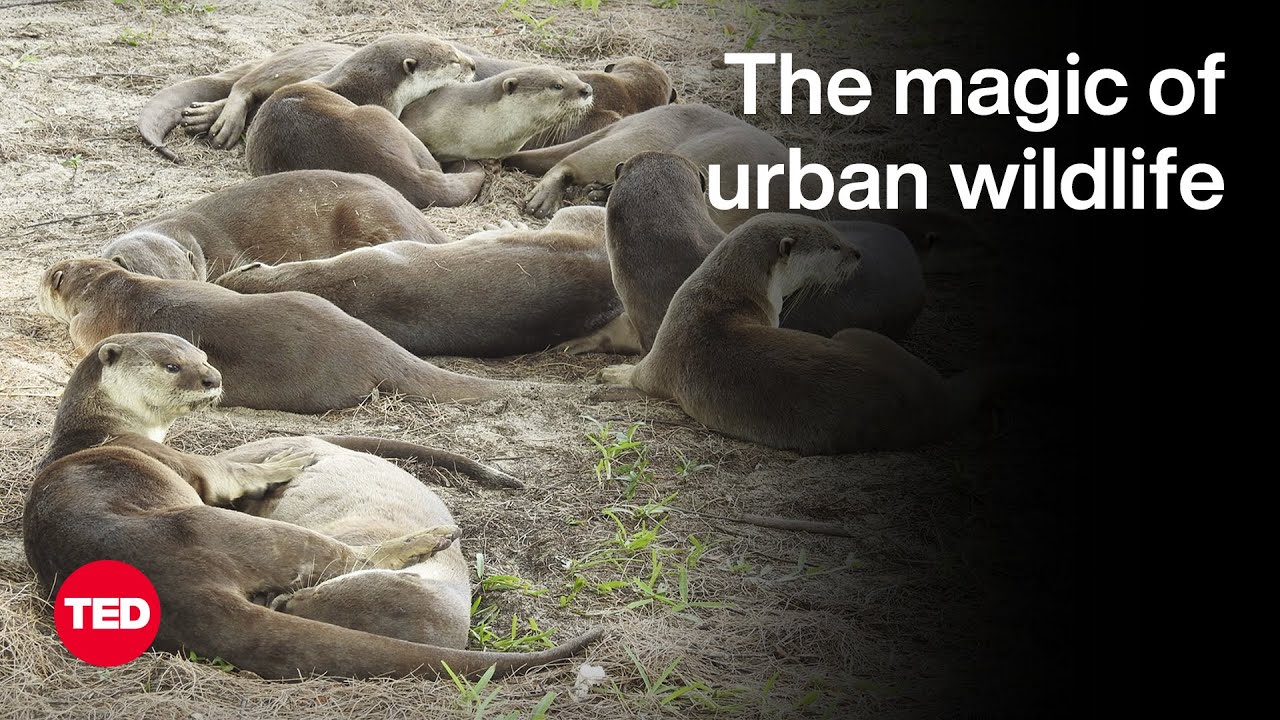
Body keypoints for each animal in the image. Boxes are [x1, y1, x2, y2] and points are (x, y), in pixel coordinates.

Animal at [24, 332, 603, 679]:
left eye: (205, 358)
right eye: (172, 365)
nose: (213, 379)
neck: (102, 427)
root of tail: (173, 590)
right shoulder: (183, 463)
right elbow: (230, 475)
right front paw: (289, 461)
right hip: (217, 529)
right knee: (340, 557)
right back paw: (427, 540)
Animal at [600, 213, 987, 455]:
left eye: (837, 235)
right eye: (833, 246)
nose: (858, 252)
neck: (723, 295)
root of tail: (937, 401)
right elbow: (638, 374)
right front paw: (612, 372)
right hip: (857, 334)